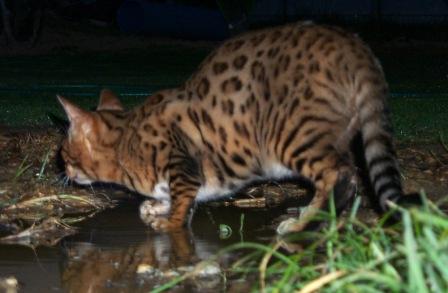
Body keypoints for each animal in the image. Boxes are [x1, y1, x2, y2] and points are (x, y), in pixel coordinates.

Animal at [57, 21, 418, 234]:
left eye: (64, 153)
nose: (63, 171)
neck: (125, 140)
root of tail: (352, 43)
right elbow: (175, 195)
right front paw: (157, 204)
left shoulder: (181, 162)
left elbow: (183, 200)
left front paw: (167, 221)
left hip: (290, 135)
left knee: (341, 174)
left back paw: (302, 223)